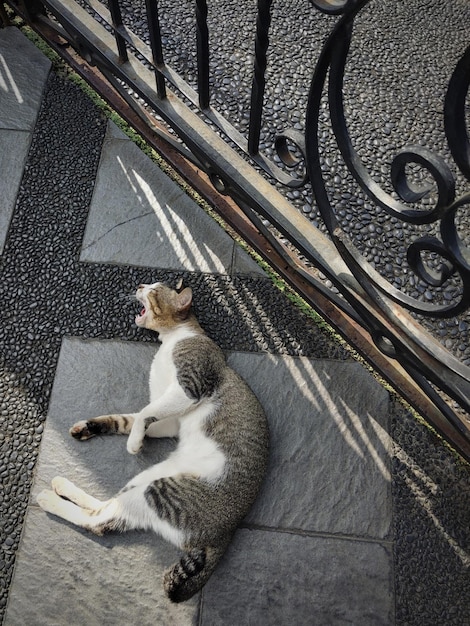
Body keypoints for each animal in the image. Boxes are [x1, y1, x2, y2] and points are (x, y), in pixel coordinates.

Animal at [36, 282, 268, 600]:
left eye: (155, 290)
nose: (140, 285)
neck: (174, 338)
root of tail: (226, 532)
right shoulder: (170, 418)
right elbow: (132, 419)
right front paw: (95, 427)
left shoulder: (189, 386)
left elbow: (144, 414)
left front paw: (134, 444)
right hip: (150, 478)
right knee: (106, 507)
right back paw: (62, 486)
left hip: (160, 491)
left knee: (98, 520)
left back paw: (49, 498)